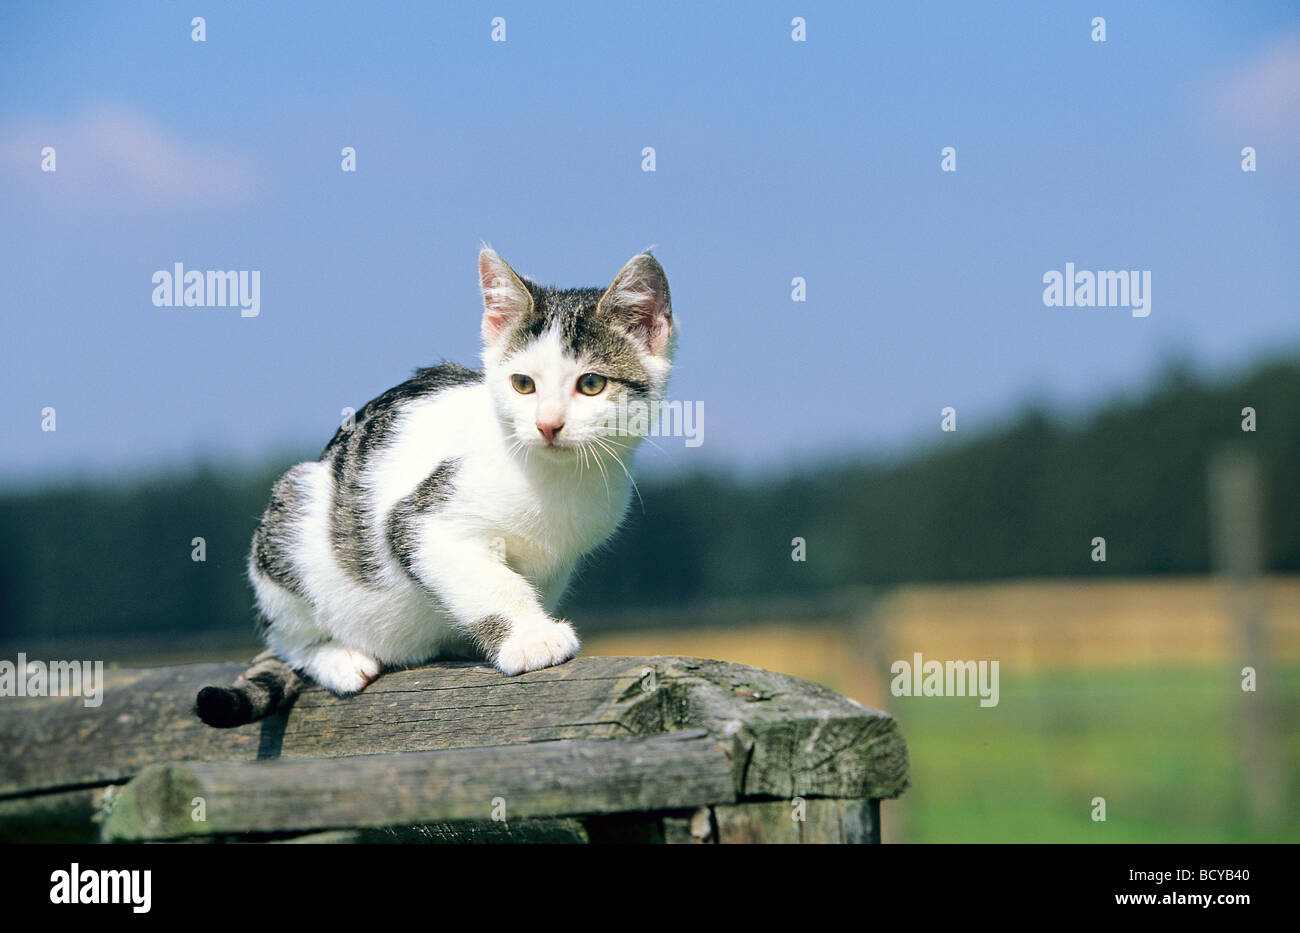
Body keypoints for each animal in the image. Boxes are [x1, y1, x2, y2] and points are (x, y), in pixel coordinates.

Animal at [200, 250, 681, 732]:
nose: (548, 425)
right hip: (292, 515)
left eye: (592, 384)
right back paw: (338, 658)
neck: (554, 479)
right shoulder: (422, 521)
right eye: (522, 384)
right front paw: (532, 638)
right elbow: (491, 582)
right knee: (288, 639)